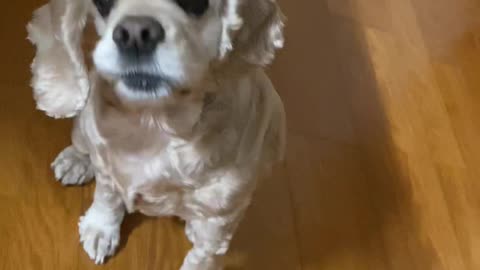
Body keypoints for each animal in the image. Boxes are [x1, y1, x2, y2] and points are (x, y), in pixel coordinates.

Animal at [27, 0, 284, 268]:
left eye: (196, 2)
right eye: (102, 4)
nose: (134, 34)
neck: (155, 122)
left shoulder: (221, 214)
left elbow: (204, 255)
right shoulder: (106, 162)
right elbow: (107, 196)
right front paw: (100, 228)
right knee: (81, 143)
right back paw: (74, 160)